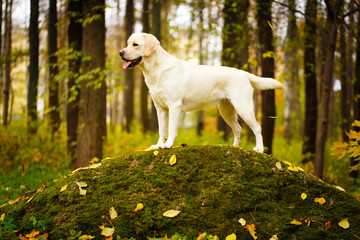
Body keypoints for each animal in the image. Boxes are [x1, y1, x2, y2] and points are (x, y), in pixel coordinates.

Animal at [121, 32, 284, 152]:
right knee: (238, 129)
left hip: (243, 107)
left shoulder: (174, 106)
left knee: (257, 128)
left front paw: (168, 145)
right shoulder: (160, 108)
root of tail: (243, 73)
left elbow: (171, 129)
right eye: (127, 43)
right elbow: (162, 130)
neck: (156, 70)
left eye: (135, 44)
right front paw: (158, 145)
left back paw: (259, 149)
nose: (120, 52)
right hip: (226, 111)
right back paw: (235, 147)